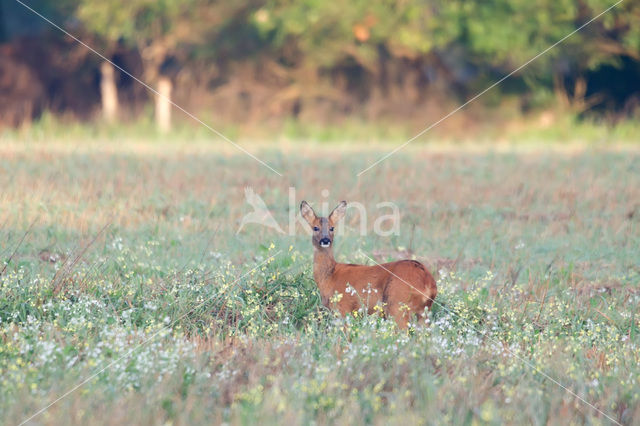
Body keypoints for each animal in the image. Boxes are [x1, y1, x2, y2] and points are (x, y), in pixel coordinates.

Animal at [300, 201, 436, 330]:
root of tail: (427, 281)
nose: (325, 240)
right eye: (315, 228)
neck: (329, 276)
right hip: (423, 312)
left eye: (332, 228)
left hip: (397, 304)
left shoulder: (343, 308)